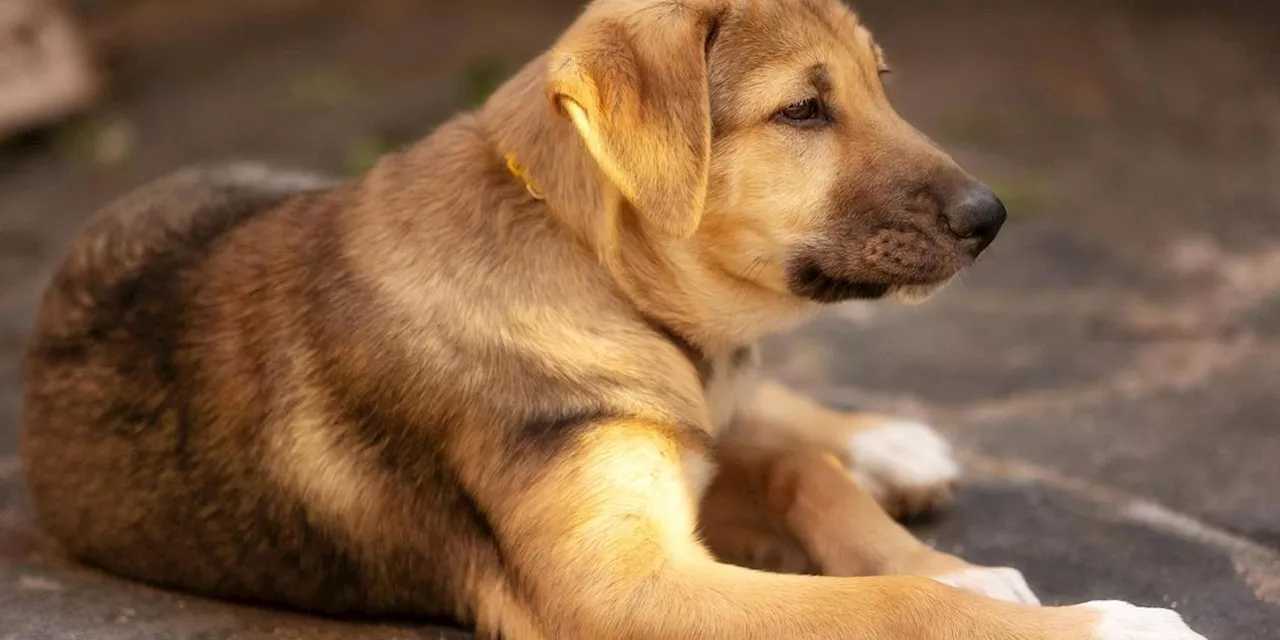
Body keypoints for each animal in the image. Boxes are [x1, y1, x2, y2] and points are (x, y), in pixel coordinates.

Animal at [20, 1, 1203, 640]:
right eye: (803, 109)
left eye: (880, 84)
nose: (991, 217)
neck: (592, 271)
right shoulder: (615, 585)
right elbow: (889, 605)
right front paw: (1100, 620)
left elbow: (806, 482)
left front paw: (962, 565)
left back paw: (883, 442)